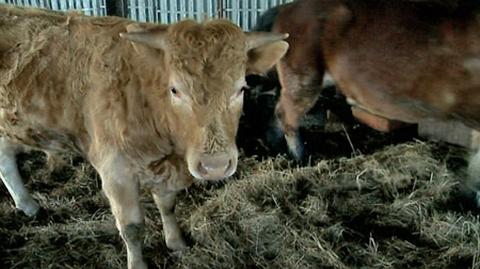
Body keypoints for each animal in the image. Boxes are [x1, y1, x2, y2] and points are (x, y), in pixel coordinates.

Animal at [0, 4, 286, 268]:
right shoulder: (115, 171)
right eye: (174, 89)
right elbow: (132, 228)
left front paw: (176, 243)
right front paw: (137, 263)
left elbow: (168, 205)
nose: (214, 166)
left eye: (241, 88)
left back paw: (27, 205)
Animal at [266, 0, 480, 196]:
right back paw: (301, 158)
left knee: (279, 109)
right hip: (303, 75)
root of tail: (284, 10)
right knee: (287, 114)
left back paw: (275, 147)